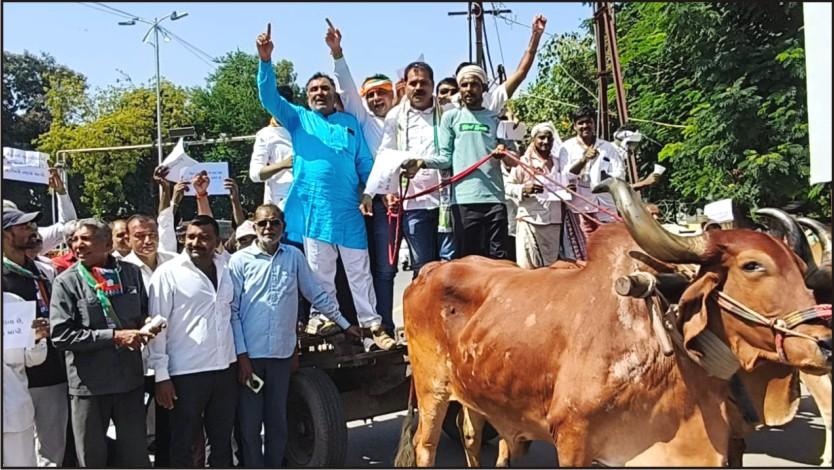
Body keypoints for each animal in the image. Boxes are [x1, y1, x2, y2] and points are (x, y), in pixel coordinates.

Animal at [397, 178, 831, 467]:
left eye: (801, 270)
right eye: (752, 266)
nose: (825, 343)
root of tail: (430, 269)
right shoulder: (572, 440)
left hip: (474, 391)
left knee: (472, 437)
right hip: (432, 389)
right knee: (425, 446)